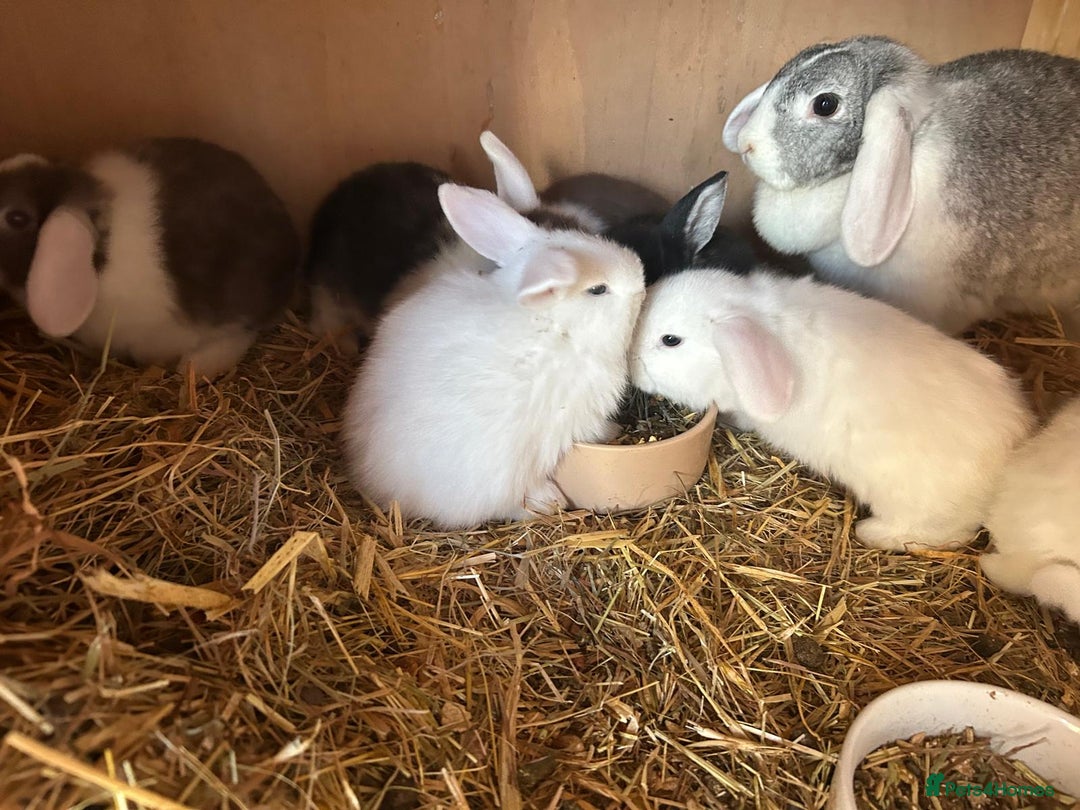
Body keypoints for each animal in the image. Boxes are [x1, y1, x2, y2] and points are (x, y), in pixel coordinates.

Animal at [343, 183, 646, 530]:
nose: (640, 278)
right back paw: (549, 500)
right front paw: (614, 432)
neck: (556, 328)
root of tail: (372, 480)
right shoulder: (580, 415)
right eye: (598, 290)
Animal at [630, 268, 1034, 551]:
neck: (761, 317)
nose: (629, 362)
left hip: (916, 506)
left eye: (671, 340)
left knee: (941, 534)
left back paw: (871, 533)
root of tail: (1011, 452)